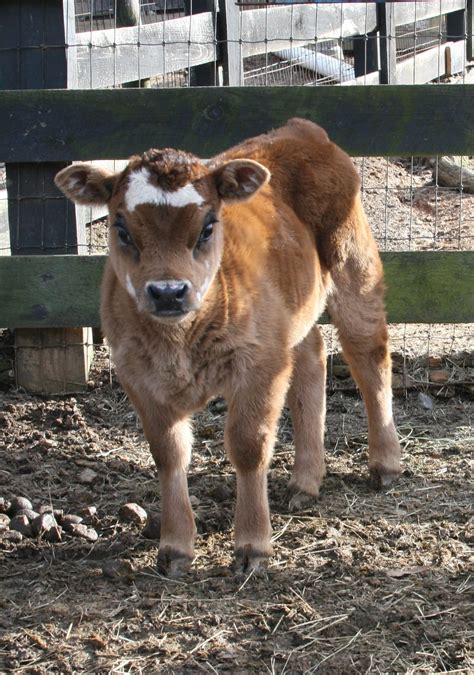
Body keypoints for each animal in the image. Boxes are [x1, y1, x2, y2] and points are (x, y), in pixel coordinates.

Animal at [55, 118, 401, 575]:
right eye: (121, 228)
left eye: (207, 226)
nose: (168, 292)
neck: (179, 342)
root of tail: (301, 129)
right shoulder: (137, 375)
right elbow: (168, 453)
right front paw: (175, 547)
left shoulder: (260, 365)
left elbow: (248, 446)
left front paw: (253, 545)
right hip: (290, 314)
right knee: (311, 358)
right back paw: (306, 480)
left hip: (354, 265)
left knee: (369, 357)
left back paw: (385, 463)